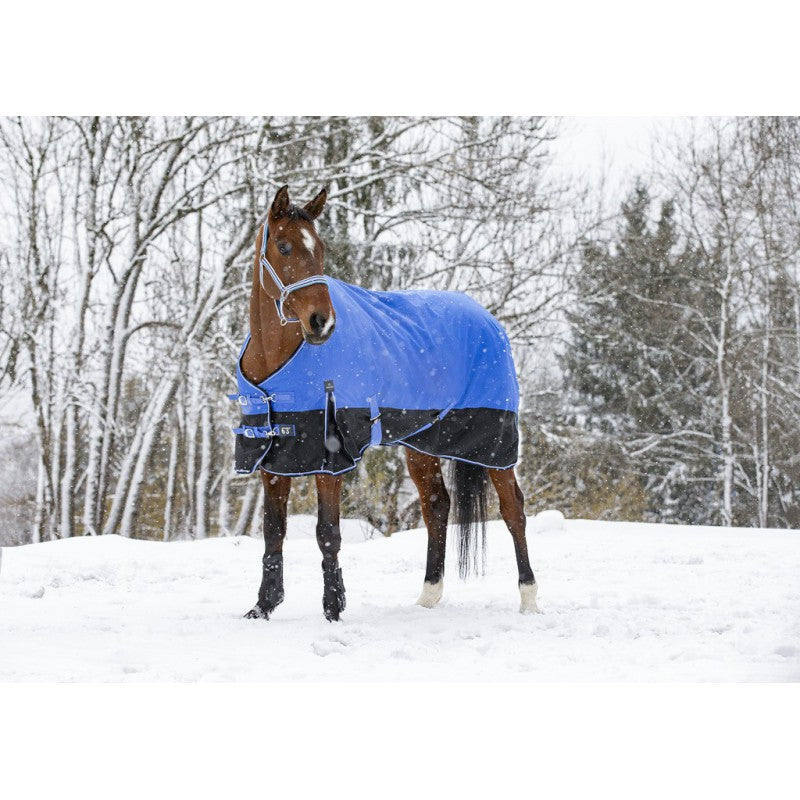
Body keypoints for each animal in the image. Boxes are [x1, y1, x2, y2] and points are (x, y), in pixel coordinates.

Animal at [233, 185, 539, 621]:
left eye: (320, 248)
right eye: (284, 246)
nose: (322, 322)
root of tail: (490, 321)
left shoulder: (330, 456)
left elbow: (327, 533)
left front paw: (333, 608)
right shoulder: (272, 457)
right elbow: (273, 530)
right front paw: (263, 606)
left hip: (493, 442)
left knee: (513, 510)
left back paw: (528, 599)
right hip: (422, 444)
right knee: (437, 507)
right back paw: (428, 595)